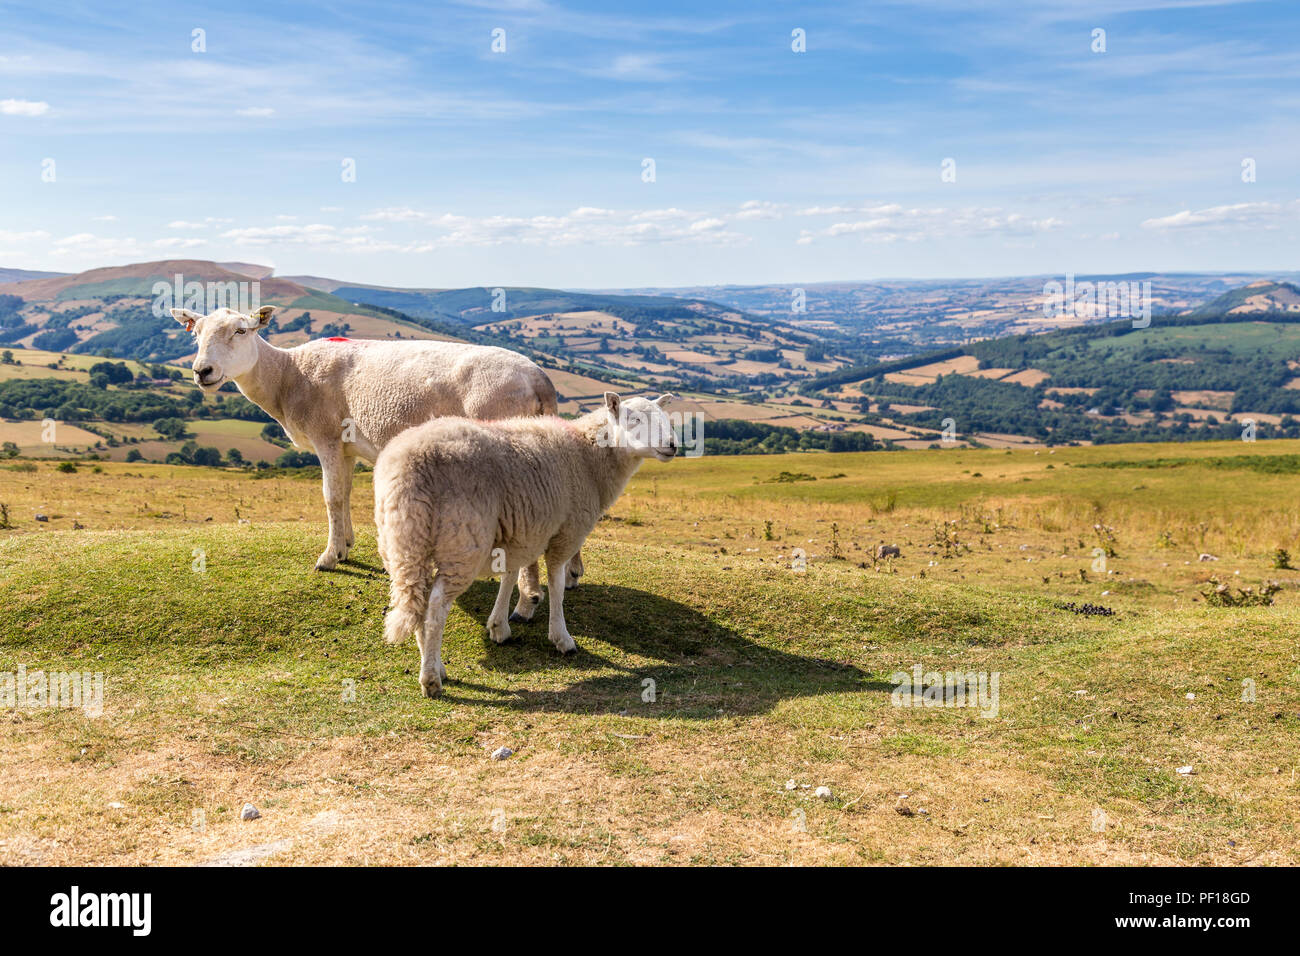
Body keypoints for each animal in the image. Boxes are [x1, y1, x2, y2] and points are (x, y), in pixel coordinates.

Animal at [170, 304, 584, 615]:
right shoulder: (348, 447)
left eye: (241, 331)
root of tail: (540, 380)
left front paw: (329, 556)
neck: (288, 377)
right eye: (196, 334)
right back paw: (570, 574)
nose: (202, 371)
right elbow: (345, 496)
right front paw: (346, 543)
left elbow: (331, 497)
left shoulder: (326, 436)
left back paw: (527, 601)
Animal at [374, 391, 678, 698]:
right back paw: (430, 679)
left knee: (418, 601)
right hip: (462, 543)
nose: (673, 445)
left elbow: (509, 575)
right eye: (634, 419)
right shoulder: (565, 532)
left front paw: (499, 626)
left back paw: (435, 664)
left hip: (401, 543)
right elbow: (556, 584)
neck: (590, 457)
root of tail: (409, 467)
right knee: (436, 604)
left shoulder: (520, 532)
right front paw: (561, 637)